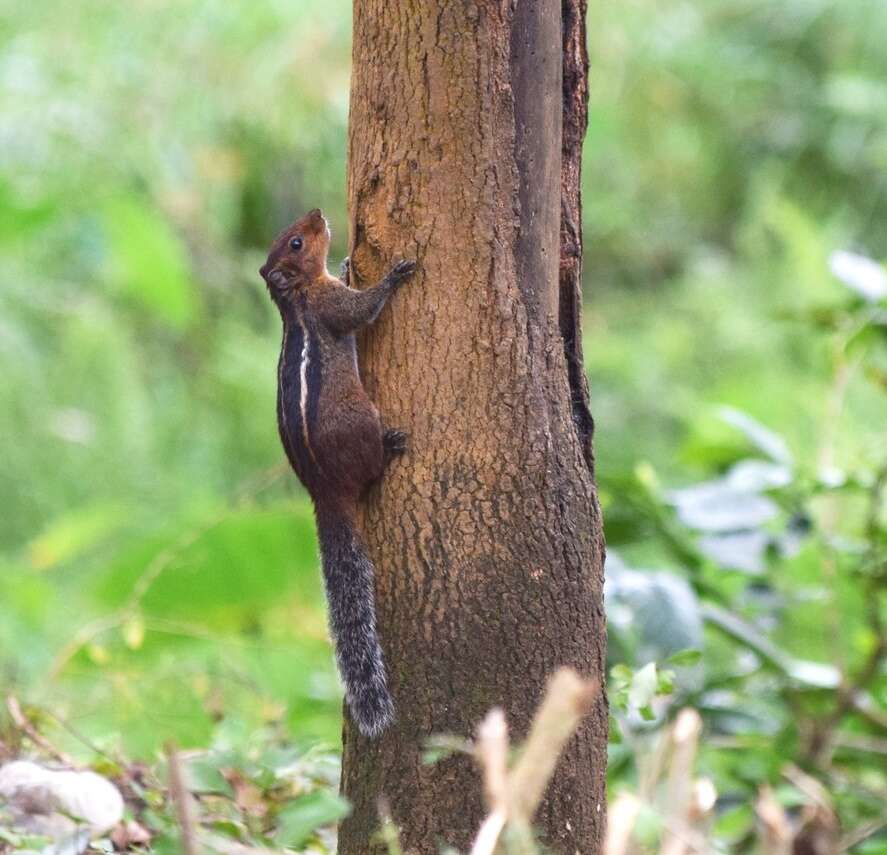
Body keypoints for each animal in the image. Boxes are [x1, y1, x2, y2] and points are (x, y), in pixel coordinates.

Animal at [258, 207, 418, 736]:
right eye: (295, 242)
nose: (319, 213)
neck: (297, 297)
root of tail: (323, 492)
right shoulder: (330, 306)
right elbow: (360, 310)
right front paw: (393, 275)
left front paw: (350, 262)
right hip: (363, 421)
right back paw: (391, 446)